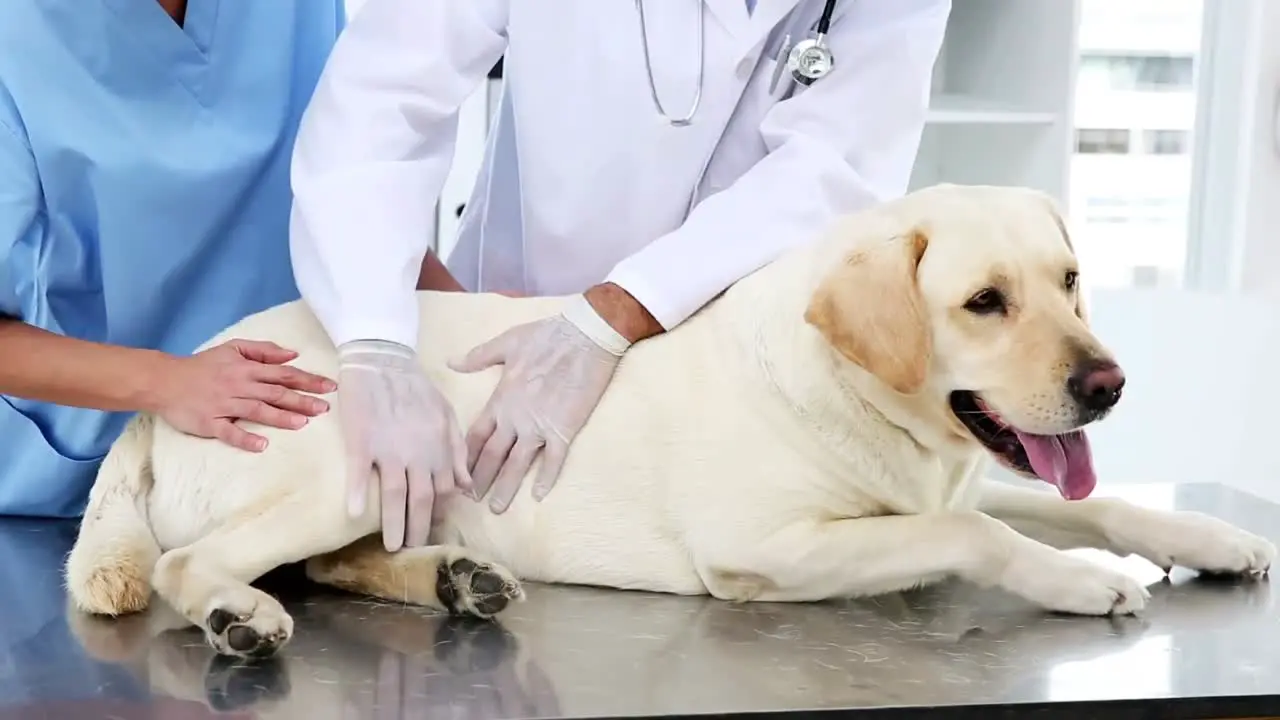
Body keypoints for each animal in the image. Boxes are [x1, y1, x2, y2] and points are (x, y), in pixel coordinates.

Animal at [64, 180, 1274, 655]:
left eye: (1069, 281)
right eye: (984, 302)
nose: (1108, 384)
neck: (855, 394)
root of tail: (186, 378)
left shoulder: (972, 468)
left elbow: (1098, 499)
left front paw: (1214, 537)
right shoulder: (765, 549)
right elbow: (974, 530)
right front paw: (1079, 582)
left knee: (336, 564)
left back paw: (456, 579)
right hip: (357, 462)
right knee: (196, 566)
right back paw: (238, 615)